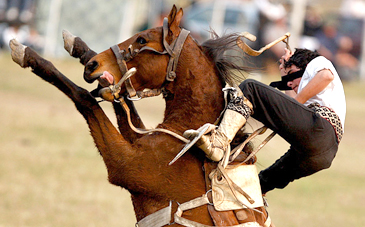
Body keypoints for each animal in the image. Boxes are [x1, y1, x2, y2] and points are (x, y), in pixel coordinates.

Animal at [9, 5, 272, 227]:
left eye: (142, 40)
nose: (92, 66)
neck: (189, 133)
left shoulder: (124, 164)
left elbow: (85, 98)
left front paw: (29, 55)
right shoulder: (137, 140)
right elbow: (122, 104)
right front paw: (79, 47)